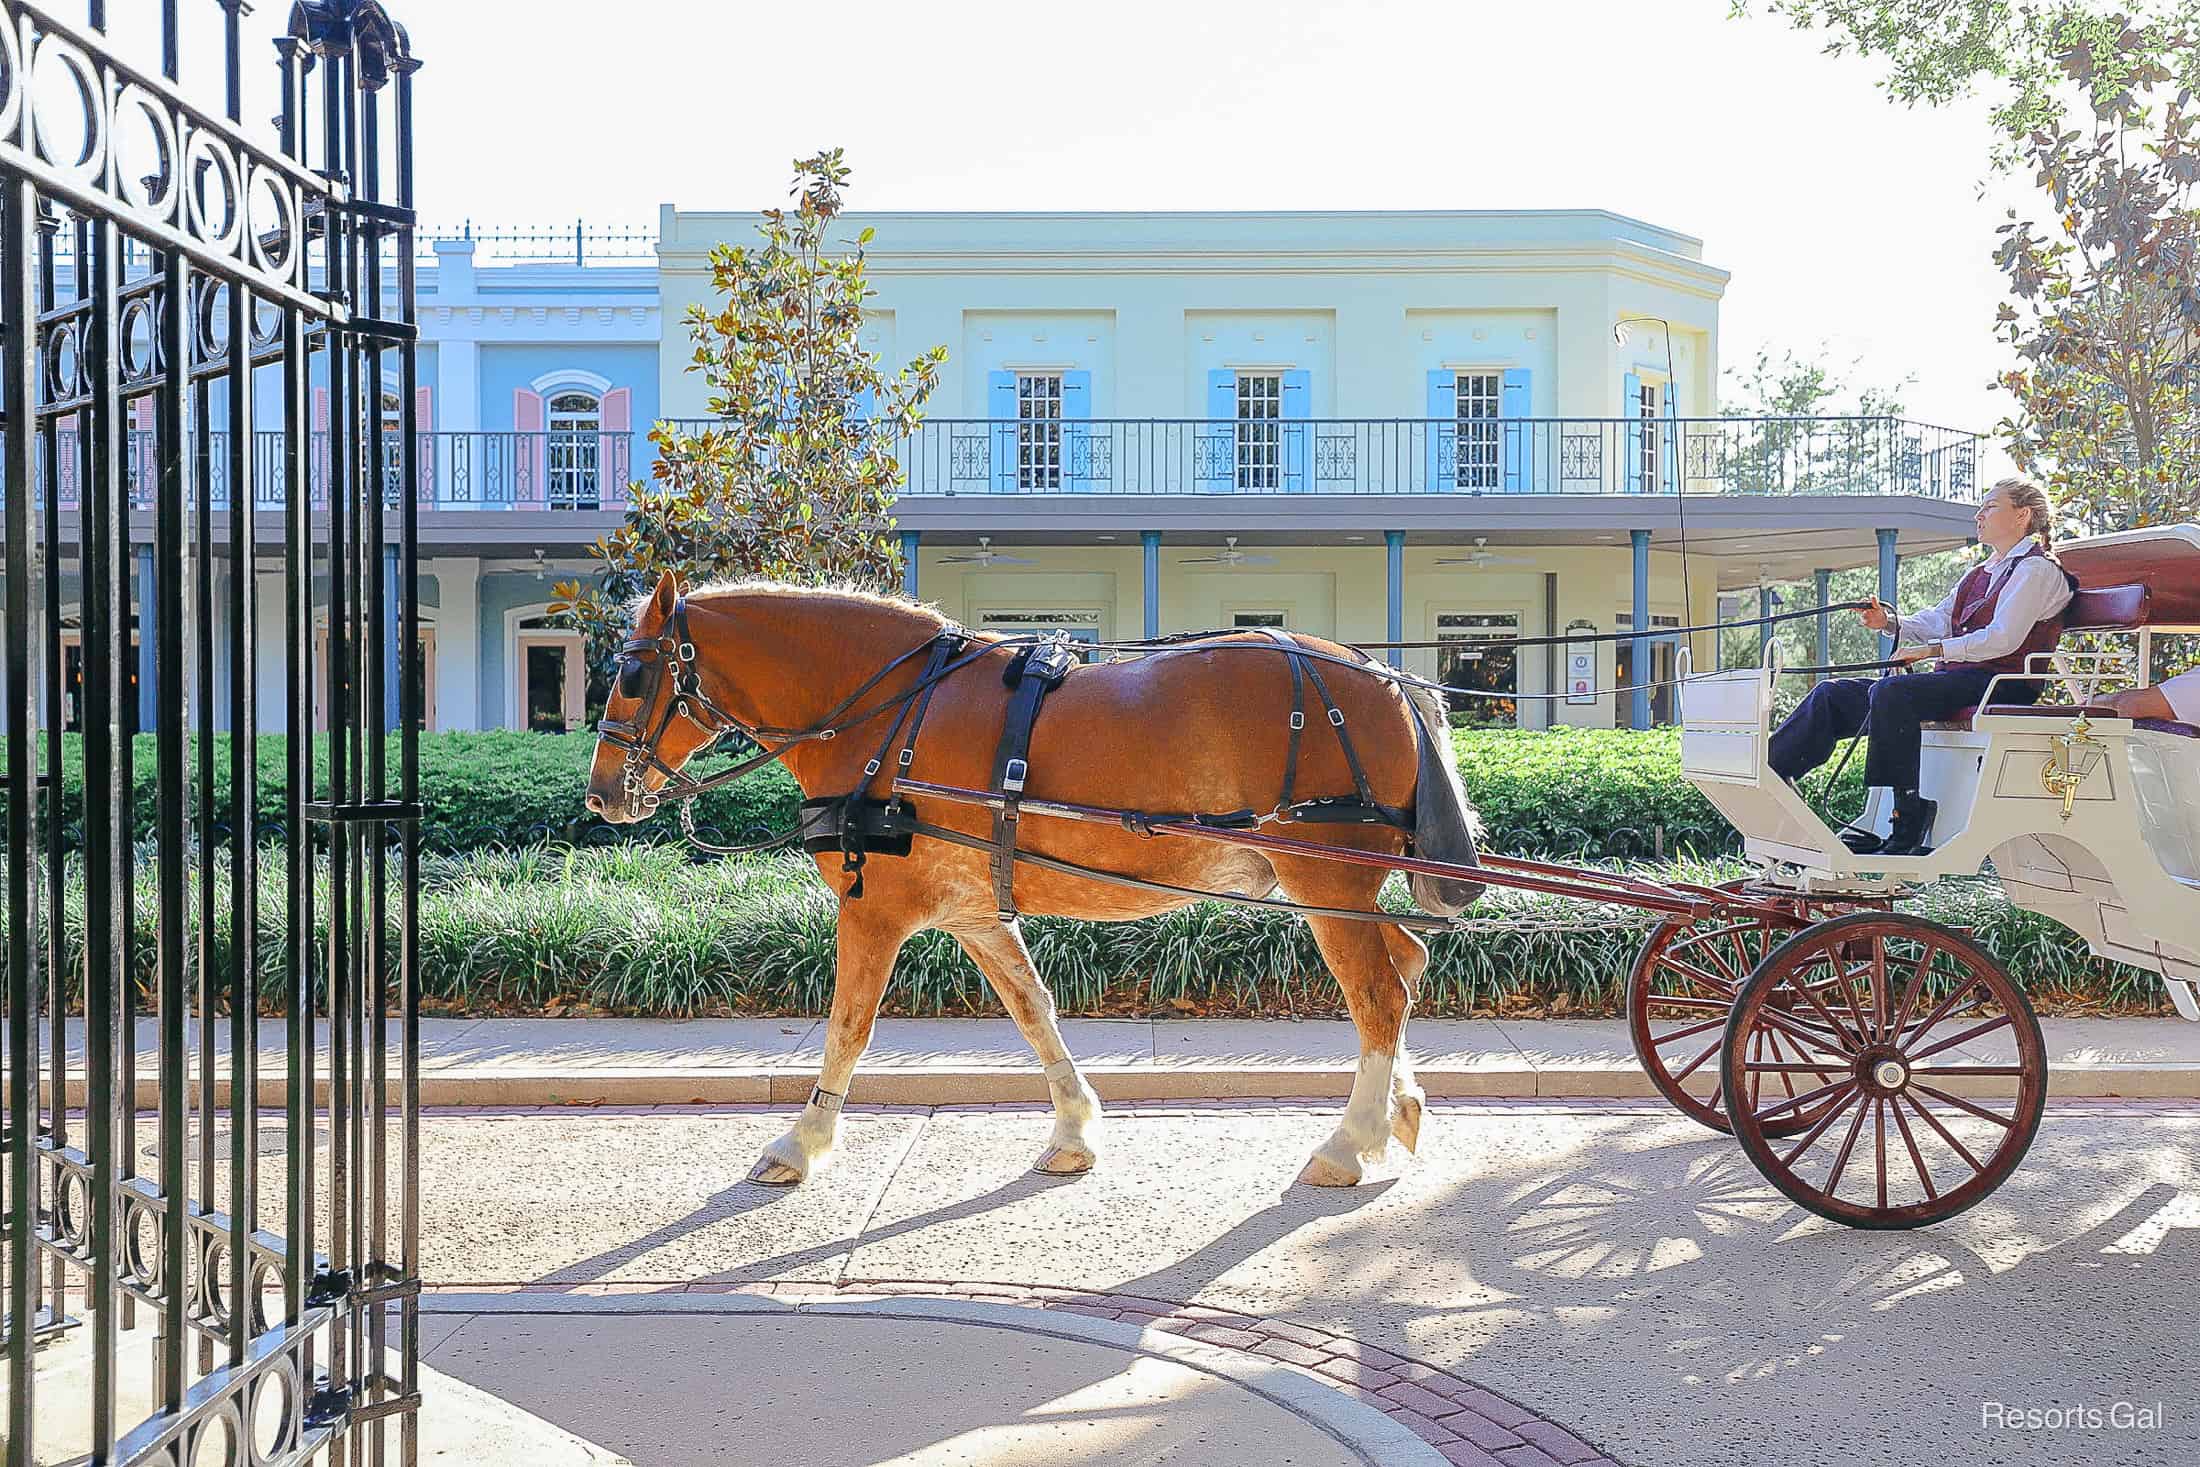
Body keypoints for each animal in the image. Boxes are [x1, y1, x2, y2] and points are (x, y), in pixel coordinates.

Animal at [585, 567, 1487, 1187]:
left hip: (1325, 881)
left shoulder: (872, 907)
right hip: (1345, 889)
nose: (600, 794)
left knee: (1379, 996)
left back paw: (1350, 1138)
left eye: (631, 674)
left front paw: (801, 1142)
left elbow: (848, 1027)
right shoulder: (976, 913)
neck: (890, 716)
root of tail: (1387, 677)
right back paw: (1398, 1110)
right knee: (1404, 966)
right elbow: (1034, 1010)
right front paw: (1074, 1129)